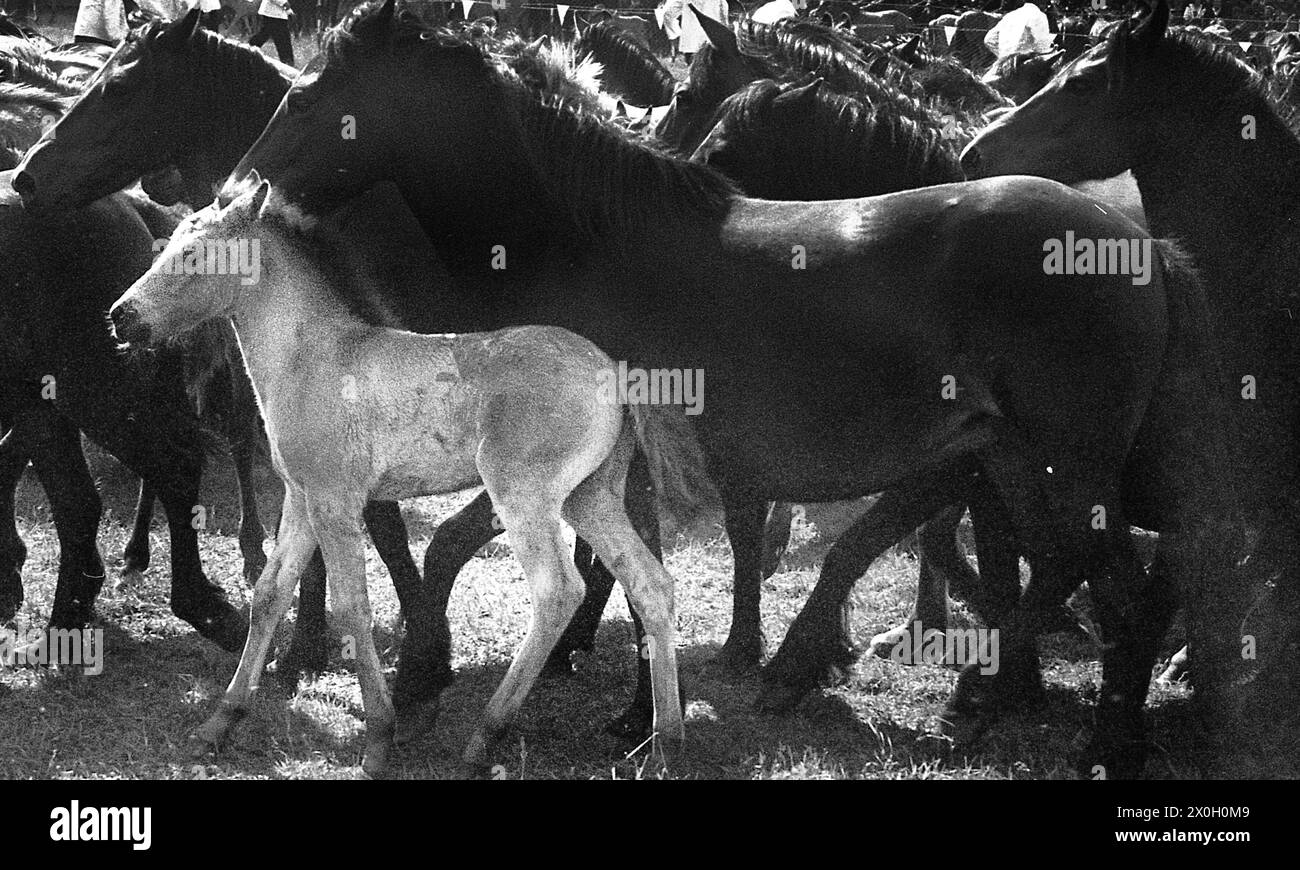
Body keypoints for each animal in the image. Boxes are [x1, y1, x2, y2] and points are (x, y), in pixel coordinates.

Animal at [109, 178, 691, 775]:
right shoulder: (301, 497)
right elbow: (269, 593)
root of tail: (616, 372)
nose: (120, 317)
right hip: (589, 497)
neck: (310, 357)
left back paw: (484, 737)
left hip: (523, 494)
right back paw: (664, 742)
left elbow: (352, 605)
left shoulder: (335, 500)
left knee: (558, 591)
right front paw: (219, 724)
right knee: (651, 584)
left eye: (193, 255)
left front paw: (378, 739)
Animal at [218, 0, 1242, 775]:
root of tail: (1145, 247)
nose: (234, 192)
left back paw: (1074, 727)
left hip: (1063, 466)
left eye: (310, 93)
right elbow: (618, 575)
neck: (586, 244)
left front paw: (593, 710)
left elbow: (566, 570)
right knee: (1090, 573)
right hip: (1025, 464)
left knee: (1115, 583)